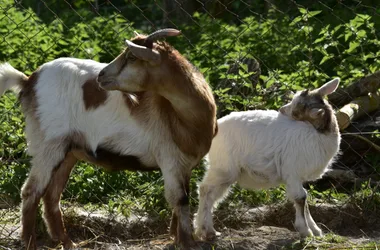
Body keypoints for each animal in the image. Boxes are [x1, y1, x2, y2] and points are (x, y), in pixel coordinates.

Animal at [0, 28, 217, 248]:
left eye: (131, 57)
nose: (101, 75)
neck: (184, 117)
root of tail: (29, 80)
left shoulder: (185, 166)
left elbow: (183, 198)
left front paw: (176, 237)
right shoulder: (169, 159)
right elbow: (180, 199)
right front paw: (187, 242)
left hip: (68, 151)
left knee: (52, 196)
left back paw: (67, 243)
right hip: (48, 144)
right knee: (31, 191)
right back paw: (30, 243)